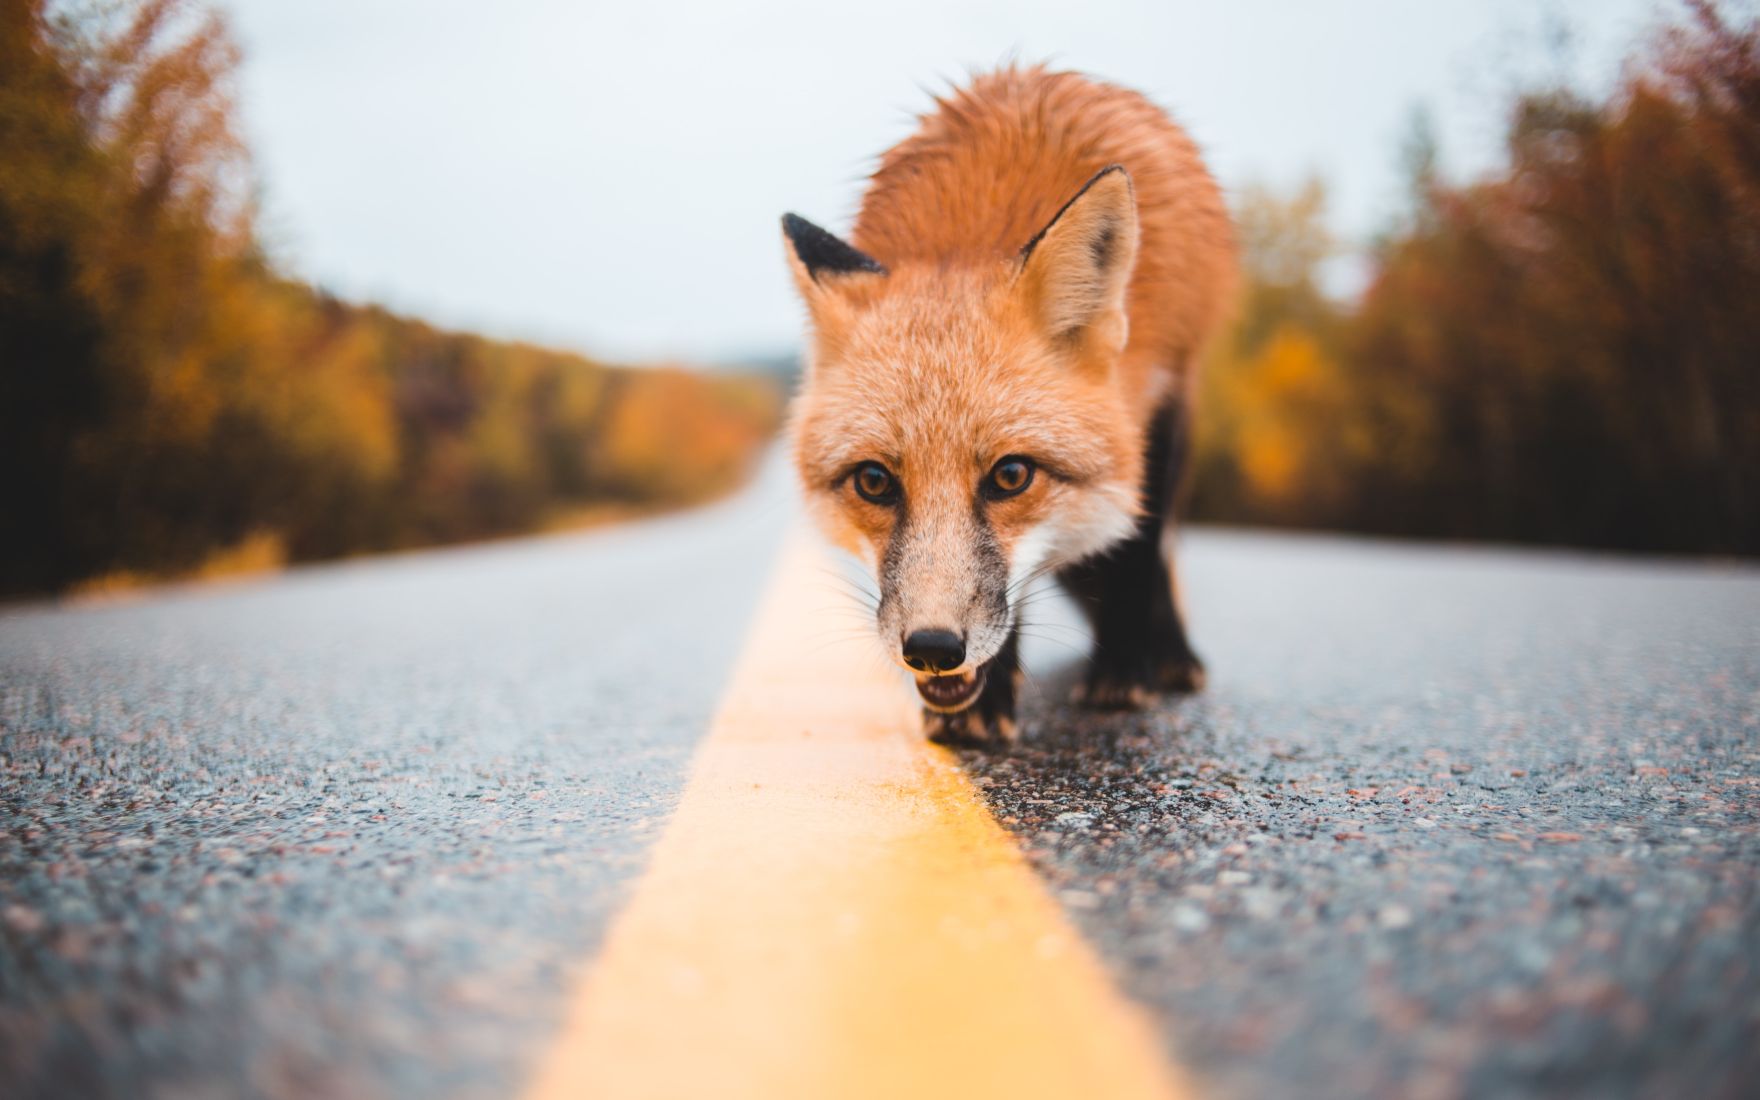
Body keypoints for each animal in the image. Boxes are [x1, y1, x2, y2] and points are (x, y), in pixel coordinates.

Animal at [784, 64, 1239, 742]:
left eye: (1011, 476)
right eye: (873, 481)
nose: (933, 649)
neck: (967, 236)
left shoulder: (1156, 405)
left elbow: (1135, 554)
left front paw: (1122, 672)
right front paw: (988, 699)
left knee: (1150, 550)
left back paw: (1169, 655)